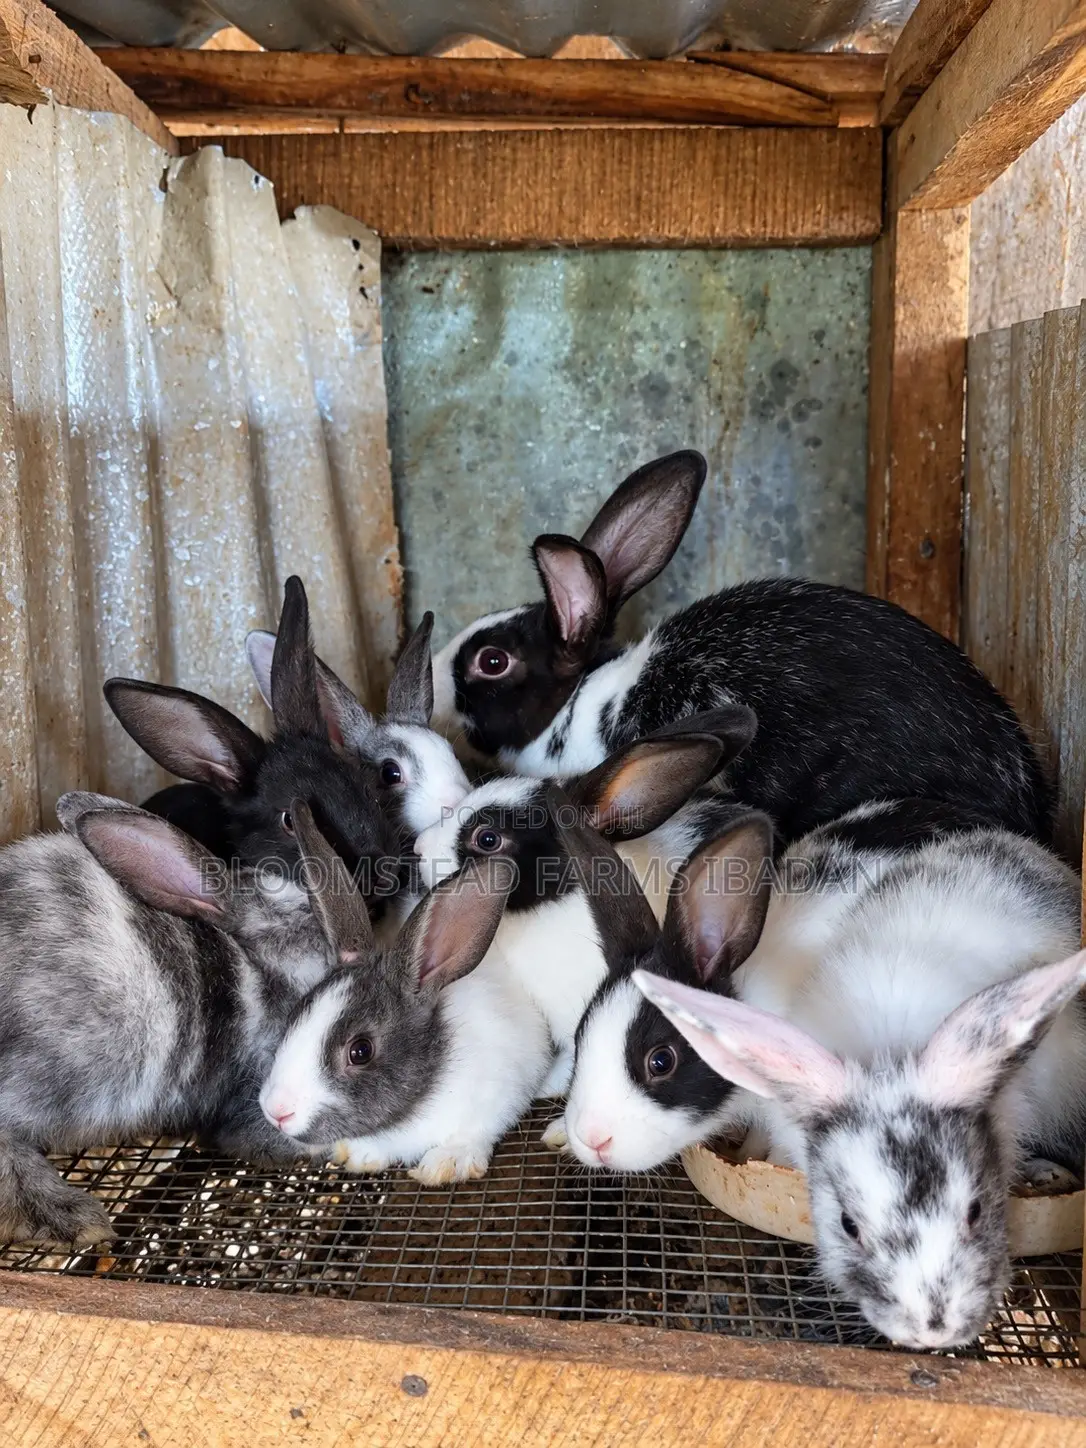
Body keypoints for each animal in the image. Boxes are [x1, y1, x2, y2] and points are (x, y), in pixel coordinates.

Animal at [259, 801, 552, 1186]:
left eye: (360, 1051)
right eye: (296, 1013)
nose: (277, 1110)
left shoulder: (502, 1091)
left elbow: (475, 1133)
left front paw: (447, 1163)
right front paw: (361, 1157)